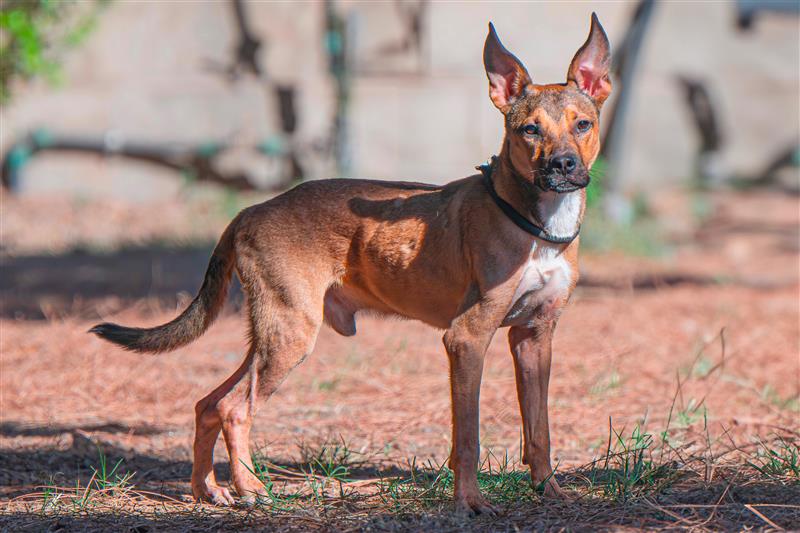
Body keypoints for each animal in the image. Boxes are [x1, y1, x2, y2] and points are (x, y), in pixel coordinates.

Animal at [89, 14, 612, 516]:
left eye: (582, 125)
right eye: (530, 130)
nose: (564, 165)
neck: (535, 224)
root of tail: (250, 211)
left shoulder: (534, 336)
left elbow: (539, 430)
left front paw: (550, 491)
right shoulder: (466, 339)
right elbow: (468, 438)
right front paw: (470, 503)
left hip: (272, 334)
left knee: (208, 404)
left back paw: (207, 490)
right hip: (291, 334)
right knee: (235, 408)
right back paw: (251, 489)